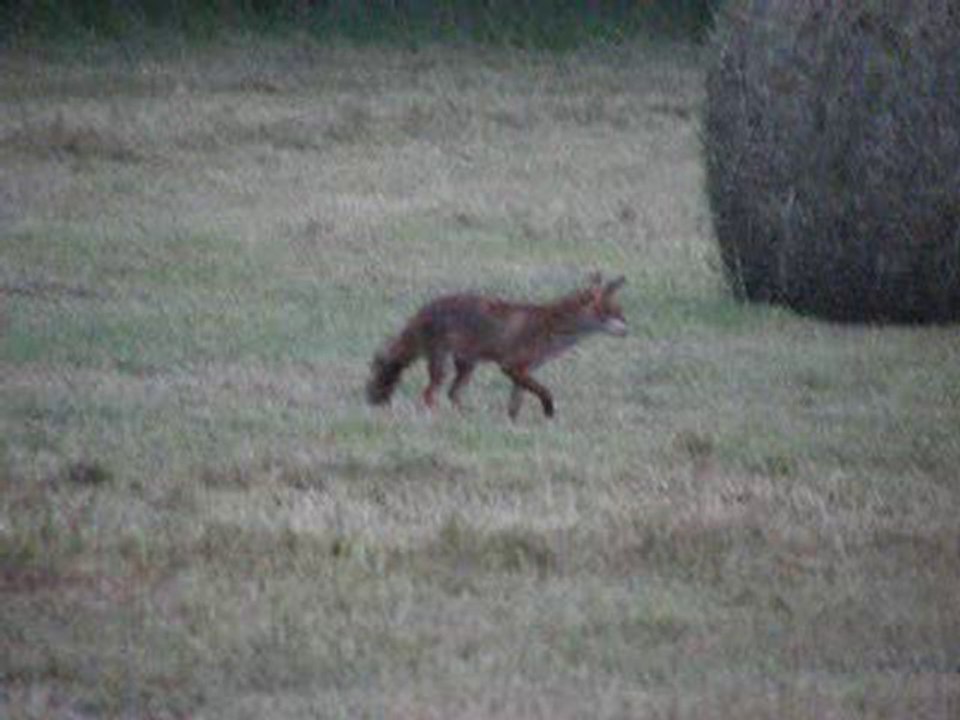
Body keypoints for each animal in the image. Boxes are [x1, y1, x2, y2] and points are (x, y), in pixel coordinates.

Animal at [366, 273, 627, 419]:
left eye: (620, 313)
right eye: (611, 313)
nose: (629, 329)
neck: (550, 328)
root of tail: (424, 310)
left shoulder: (523, 372)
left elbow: (515, 405)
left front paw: (513, 424)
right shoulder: (511, 366)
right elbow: (545, 392)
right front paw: (549, 411)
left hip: (466, 366)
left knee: (453, 394)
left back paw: (465, 418)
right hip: (442, 365)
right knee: (430, 394)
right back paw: (437, 418)